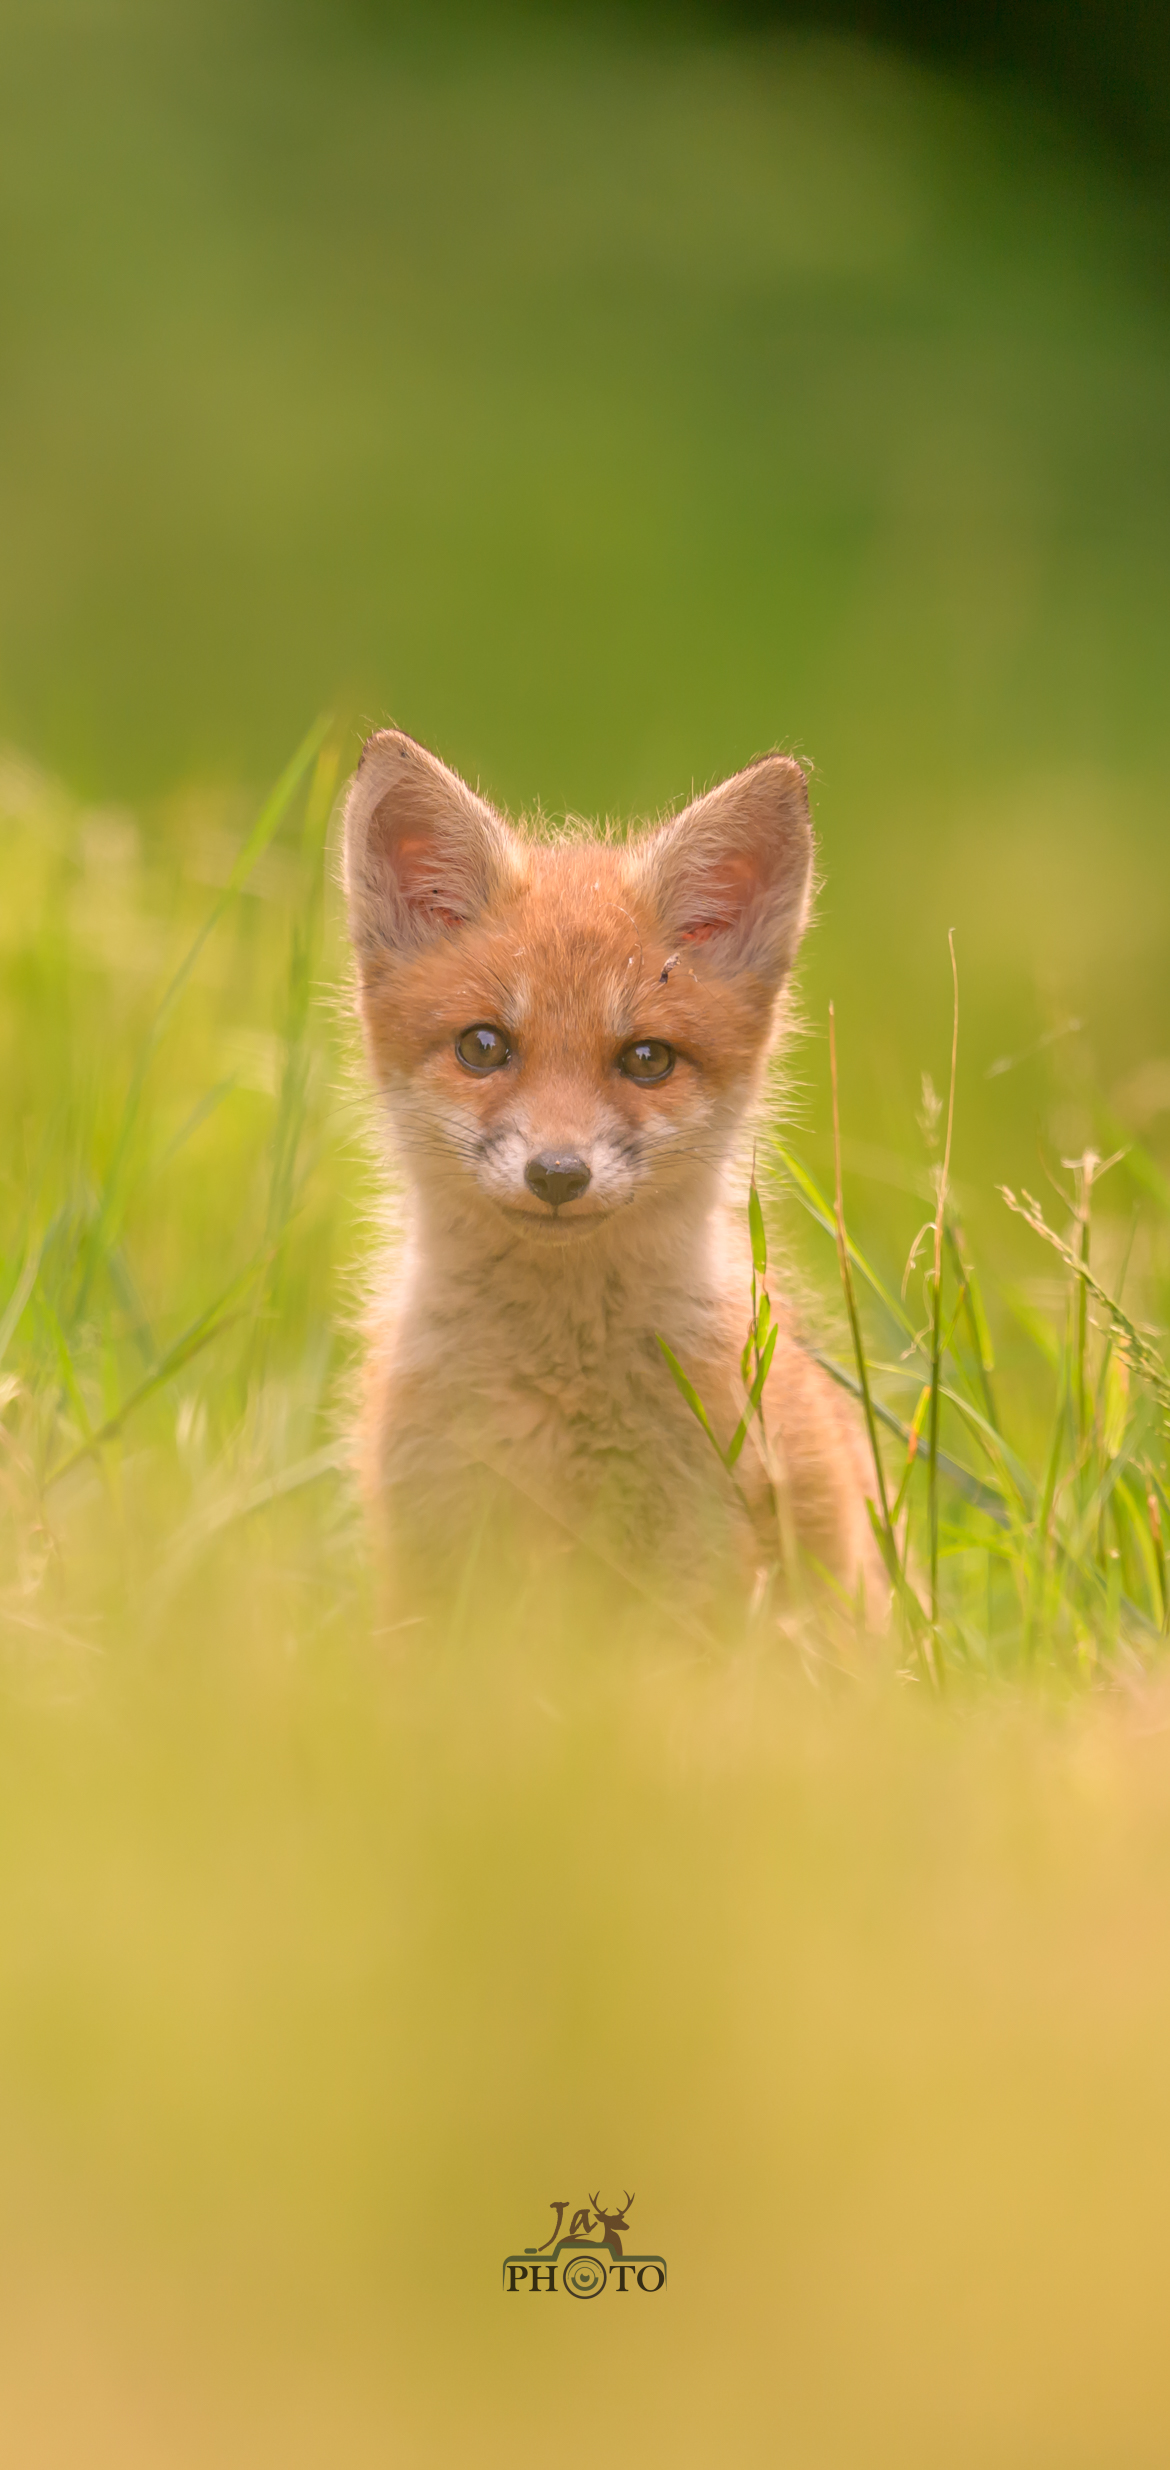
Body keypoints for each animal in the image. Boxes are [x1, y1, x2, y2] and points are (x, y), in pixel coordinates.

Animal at [342, 728, 885, 1622]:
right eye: (483, 1046)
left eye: (647, 1059)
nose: (558, 1174)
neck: (560, 1392)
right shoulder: (434, 1550)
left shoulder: (702, 1554)